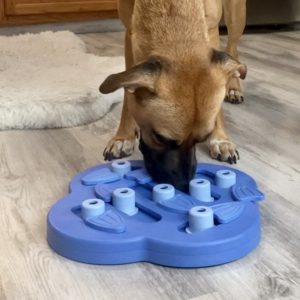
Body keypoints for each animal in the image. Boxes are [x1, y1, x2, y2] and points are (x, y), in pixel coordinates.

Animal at [99, 0, 247, 191]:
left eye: (203, 138)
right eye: (160, 138)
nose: (183, 184)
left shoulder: (212, 31)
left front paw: (220, 139)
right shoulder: (130, 33)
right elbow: (127, 93)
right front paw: (123, 137)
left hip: (236, 15)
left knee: (233, 47)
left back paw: (234, 87)